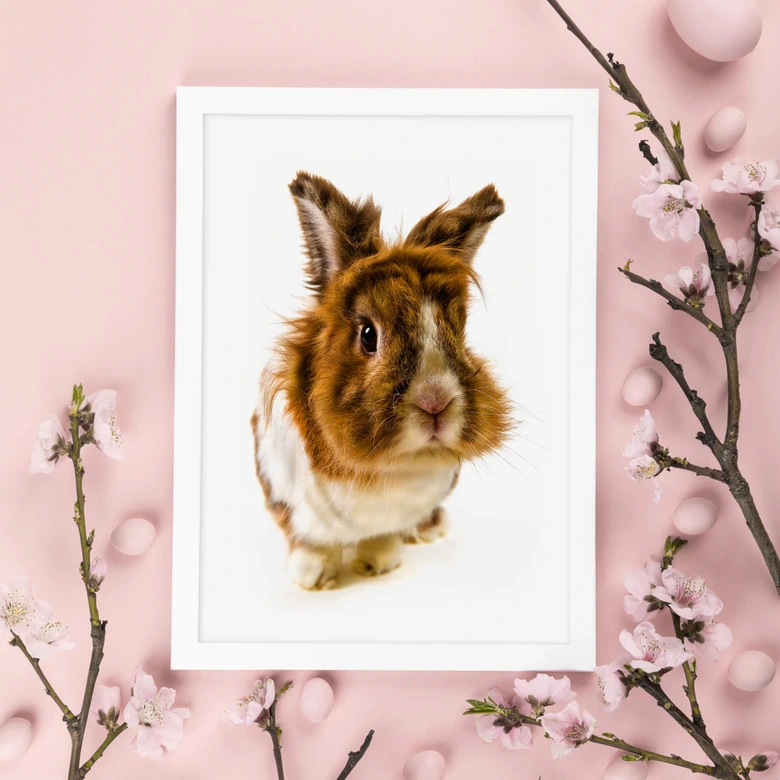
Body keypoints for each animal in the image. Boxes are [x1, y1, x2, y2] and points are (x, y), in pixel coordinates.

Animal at [251, 171, 513, 590]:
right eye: (368, 335)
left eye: (459, 332)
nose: (435, 402)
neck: (385, 469)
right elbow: (308, 542)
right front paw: (311, 579)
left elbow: (383, 537)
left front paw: (377, 564)